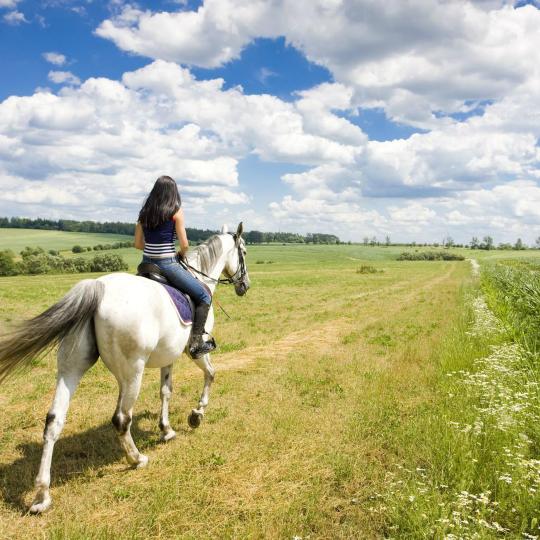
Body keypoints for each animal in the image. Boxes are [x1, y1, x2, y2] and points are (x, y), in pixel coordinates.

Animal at [0, 221, 250, 512]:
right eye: (244, 252)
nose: (245, 286)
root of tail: (97, 287)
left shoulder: (168, 357)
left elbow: (166, 391)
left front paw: (166, 430)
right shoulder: (194, 351)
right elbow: (211, 374)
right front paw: (196, 415)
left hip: (71, 368)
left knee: (53, 421)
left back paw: (42, 496)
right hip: (132, 373)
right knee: (121, 418)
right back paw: (136, 459)